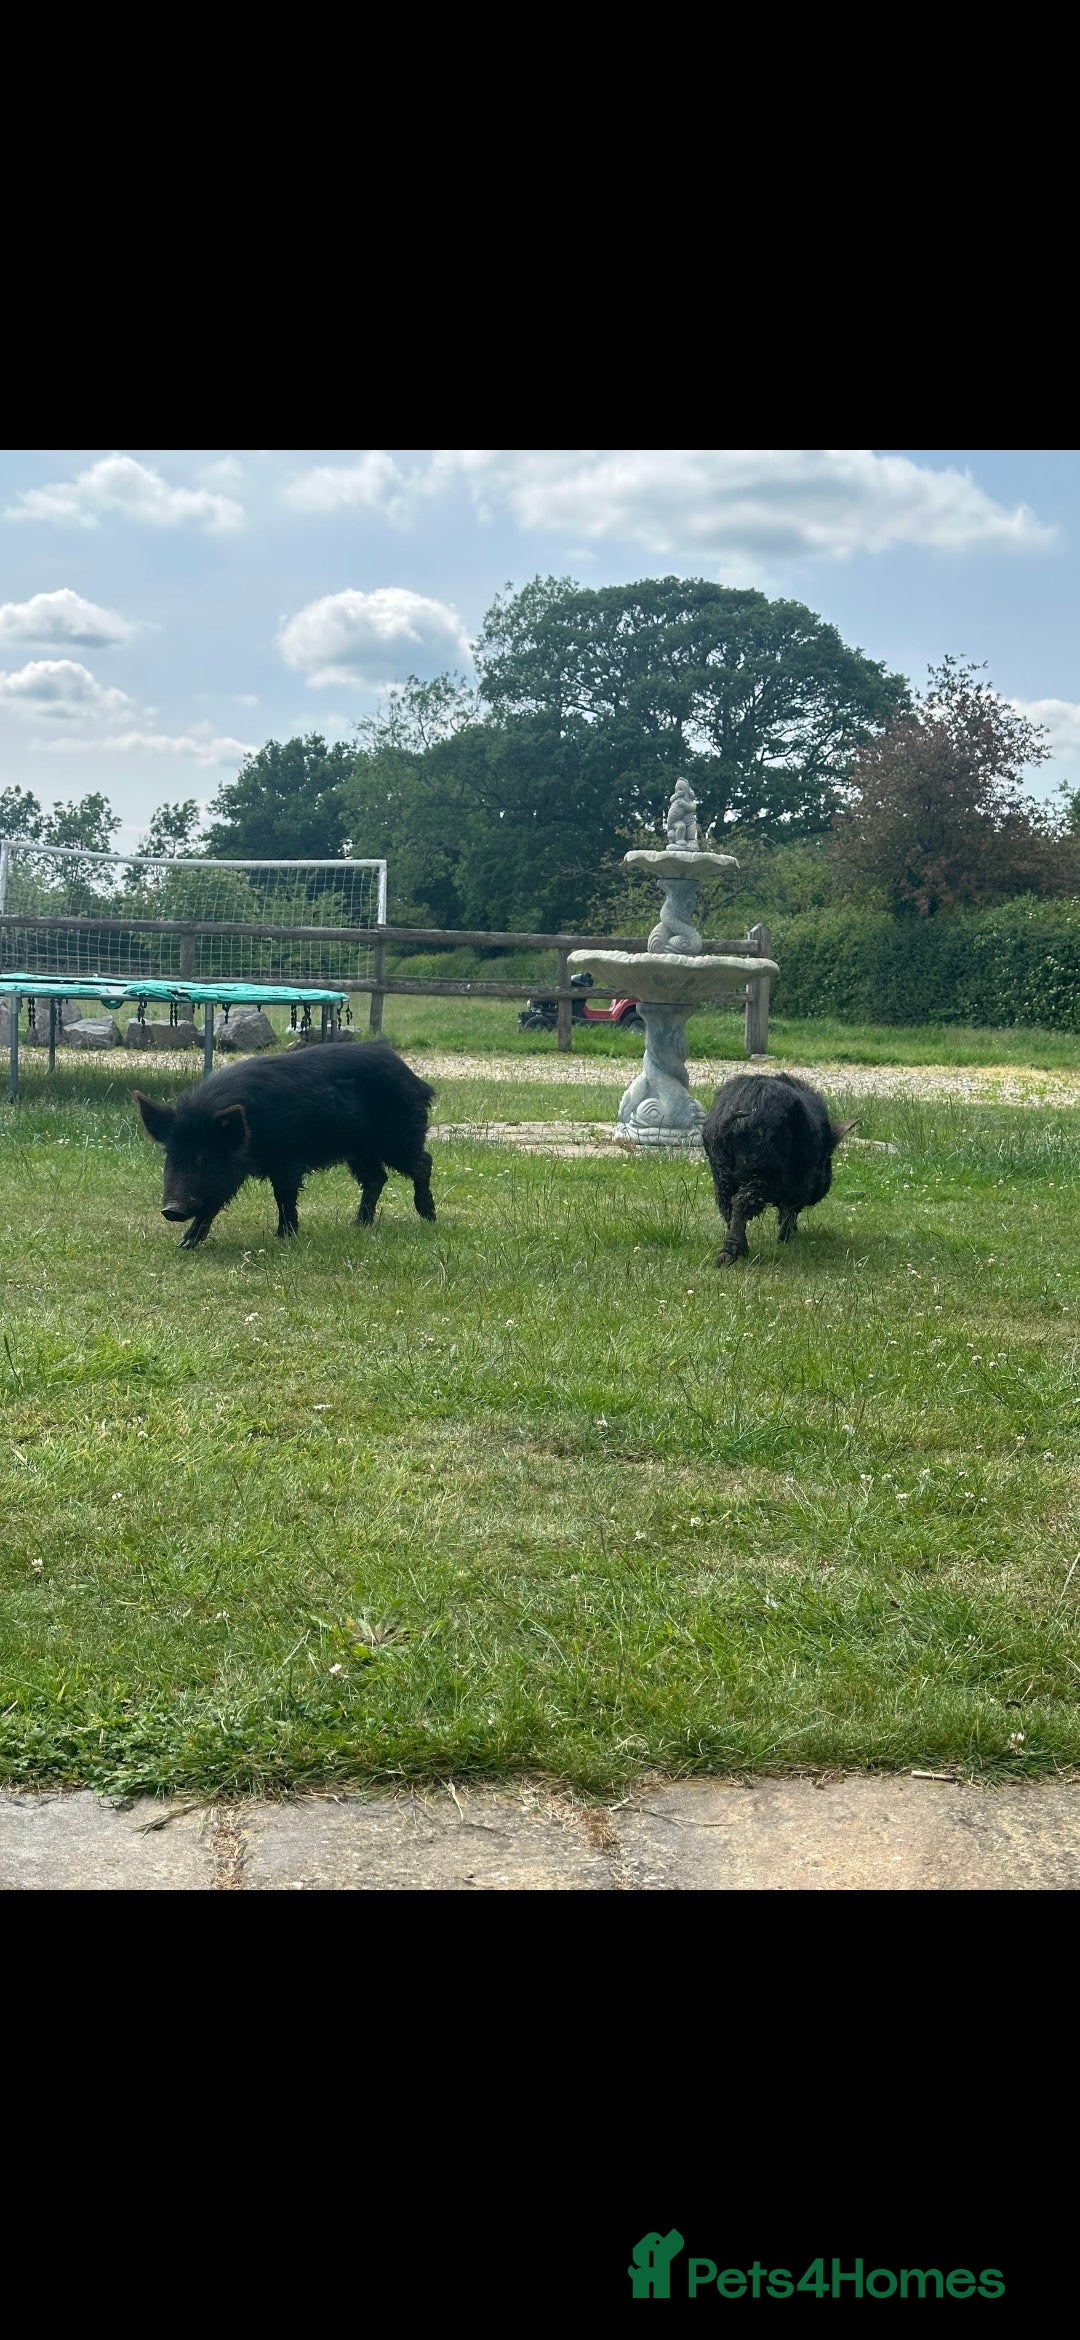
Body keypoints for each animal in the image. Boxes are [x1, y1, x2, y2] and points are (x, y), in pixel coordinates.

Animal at [135, 1041, 437, 1248]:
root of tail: (417, 1081)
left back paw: (428, 1217)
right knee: (376, 1178)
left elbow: (283, 1195)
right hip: (359, 1151)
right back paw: (358, 1225)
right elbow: (215, 1200)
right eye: (170, 1156)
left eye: (204, 1158)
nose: (171, 1209)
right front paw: (185, 1245)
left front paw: (284, 1237)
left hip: (399, 1138)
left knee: (424, 1162)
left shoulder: (287, 1158)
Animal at [702, 1071, 855, 1267]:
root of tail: (734, 1118)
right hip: (760, 1168)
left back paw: (740, 1250)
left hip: (720, 1171)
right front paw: (785, 1239)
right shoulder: (799, 1184)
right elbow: (789, 1211)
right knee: (741, 1202)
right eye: (826, 1158)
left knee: (727, 1206)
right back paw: (732, 1255)